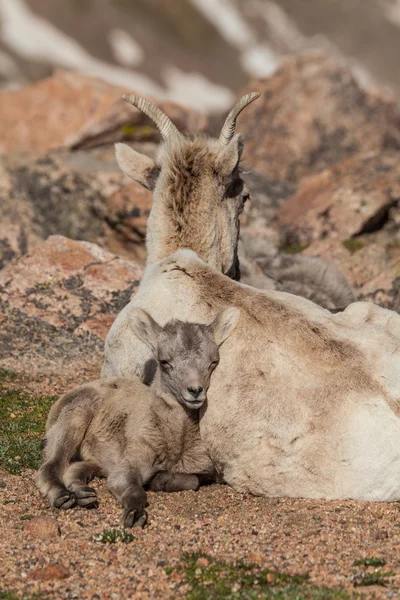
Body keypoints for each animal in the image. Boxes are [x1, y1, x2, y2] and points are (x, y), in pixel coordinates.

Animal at [37, 308, 238, 528]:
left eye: (213, 363)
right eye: (165, 362)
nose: (195, 391)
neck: (177, 441)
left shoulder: (207, 471)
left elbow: (192, 480)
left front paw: (159, 481)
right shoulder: (131, 463)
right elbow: (134, 490)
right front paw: (134, 515)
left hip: (96, 460)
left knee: (74, 469)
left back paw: (84, 495)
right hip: (74, 419)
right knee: (52, 465)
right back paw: (62, 496)